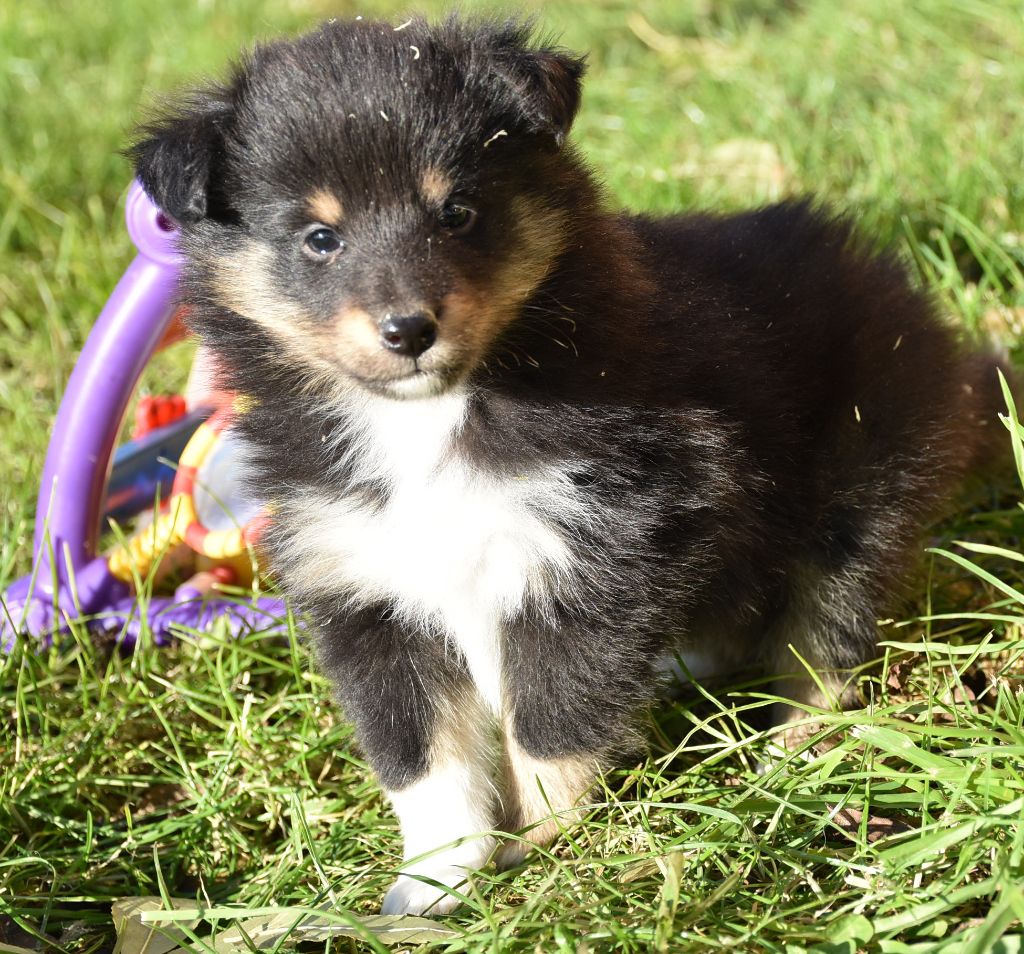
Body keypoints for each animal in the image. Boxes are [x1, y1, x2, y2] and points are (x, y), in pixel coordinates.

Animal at [128, 18, 999, 917]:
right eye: (319, 238)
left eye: (459, 212)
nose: (409, 329)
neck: (429, 419)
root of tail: (890, 277)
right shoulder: (366, 587)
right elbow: (421, 756)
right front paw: (433, 881)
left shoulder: (603, 544)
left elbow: (549, 718)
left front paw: (546, 844)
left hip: (859, 487)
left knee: (826, 634)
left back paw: (796, 750)